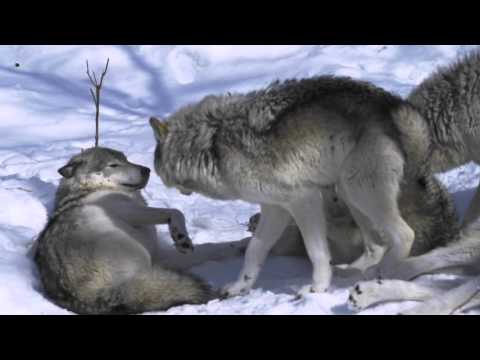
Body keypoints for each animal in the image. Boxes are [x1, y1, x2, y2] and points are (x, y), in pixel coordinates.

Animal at [34, 148, 218, 314]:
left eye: (127, 159)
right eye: (113, 165)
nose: (147, 170)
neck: (91, 189)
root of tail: (92, 297)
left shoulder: (160, 254)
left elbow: (210, 248)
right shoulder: (131, 212)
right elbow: (175, 212)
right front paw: (180, 235)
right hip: (139, 252)